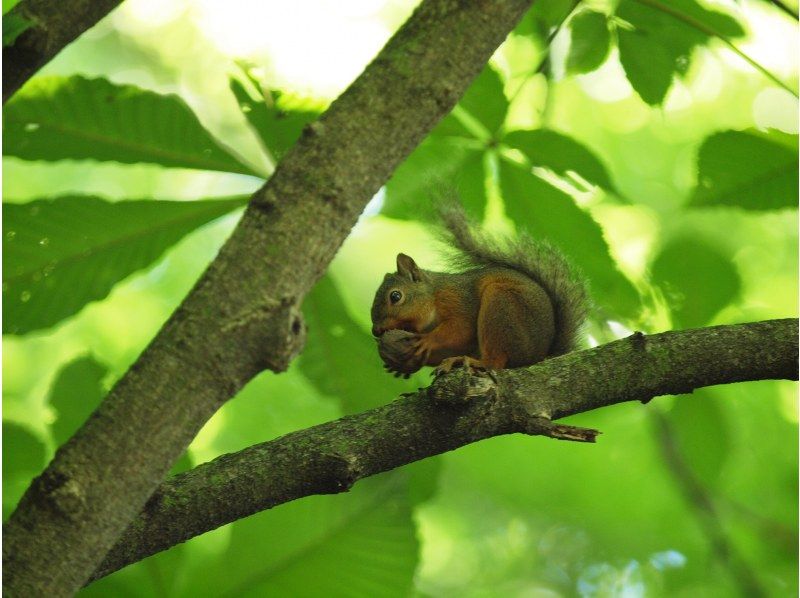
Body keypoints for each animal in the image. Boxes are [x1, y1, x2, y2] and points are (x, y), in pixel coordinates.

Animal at [372, 204, 592, 378]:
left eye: (395, 296)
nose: (375, 331)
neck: (433, 295)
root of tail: (539, 356)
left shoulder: (457, 299)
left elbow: (461, 327)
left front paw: (428, 340)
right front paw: (404, 365)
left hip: (502, 306)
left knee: (496, 361)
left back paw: (475, 362)